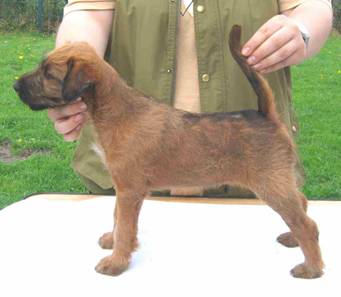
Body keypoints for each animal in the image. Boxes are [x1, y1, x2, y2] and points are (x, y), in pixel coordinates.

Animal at [12, 25, 322, 278]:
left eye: (48, 74)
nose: (14, 85)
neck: (116, 110)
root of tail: (264, 115)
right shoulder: (123, 189)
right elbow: (116, 217)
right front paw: (113, 242)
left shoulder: (129, 191)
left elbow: (125, 225)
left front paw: (116, 262)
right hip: (279, 182)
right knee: (302, 204)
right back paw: (293, 239)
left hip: (270, 184)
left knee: (306, 223)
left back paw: (312, 267)